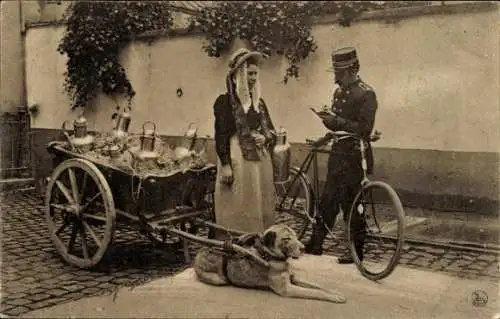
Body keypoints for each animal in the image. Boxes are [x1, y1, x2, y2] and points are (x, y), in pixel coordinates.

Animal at [193, 224, 346, 304]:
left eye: (296, 236)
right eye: (286, 239)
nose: (303, 248)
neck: (269, 255)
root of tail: (200, 252)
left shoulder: (294, 278)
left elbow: (318, 286)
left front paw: (335, 292)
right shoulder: (287, 289)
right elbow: (314, 292)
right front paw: (334, 297)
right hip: (218, 279)